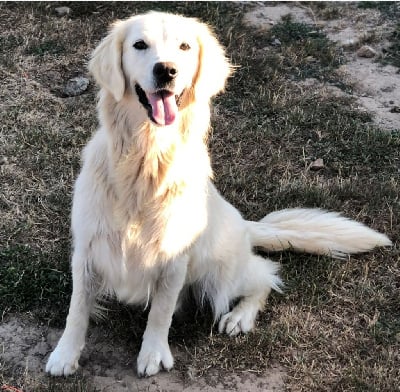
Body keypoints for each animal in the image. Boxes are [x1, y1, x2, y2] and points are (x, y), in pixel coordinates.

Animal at [46, 11, 390, 376]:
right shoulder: (88, 249)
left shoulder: (174, 257)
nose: (166, 70)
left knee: (266, 275)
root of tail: (245, 223)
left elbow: (160, 312)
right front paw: (65, 354)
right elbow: (77, 310)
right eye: (139, 45)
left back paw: (240, 317)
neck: (146, 159)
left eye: (184, 46)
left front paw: (153, 353)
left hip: (220, 275)